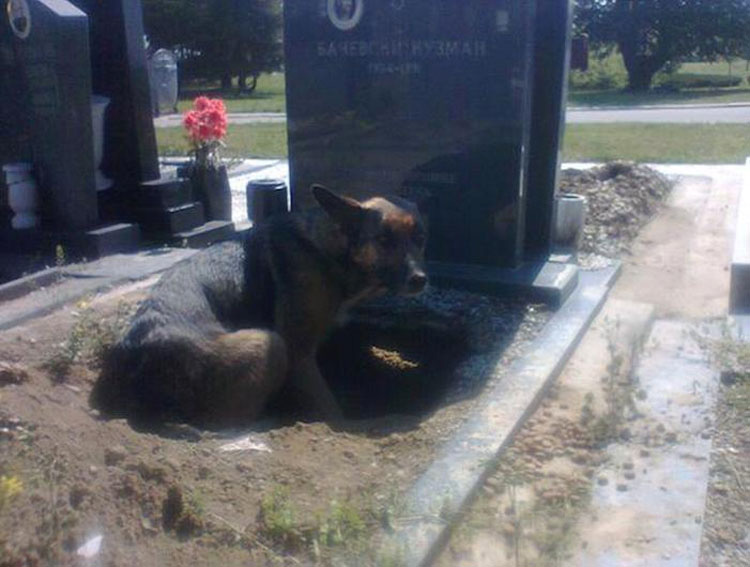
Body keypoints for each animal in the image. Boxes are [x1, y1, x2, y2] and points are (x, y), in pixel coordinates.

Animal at [90, 184, 428, 428]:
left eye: (420, 237)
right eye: (383, 240)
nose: (420, 280)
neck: (327, 250)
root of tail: (131, 361)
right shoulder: (298, 353)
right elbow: (330, 409)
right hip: (267, 342)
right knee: (230, 420)